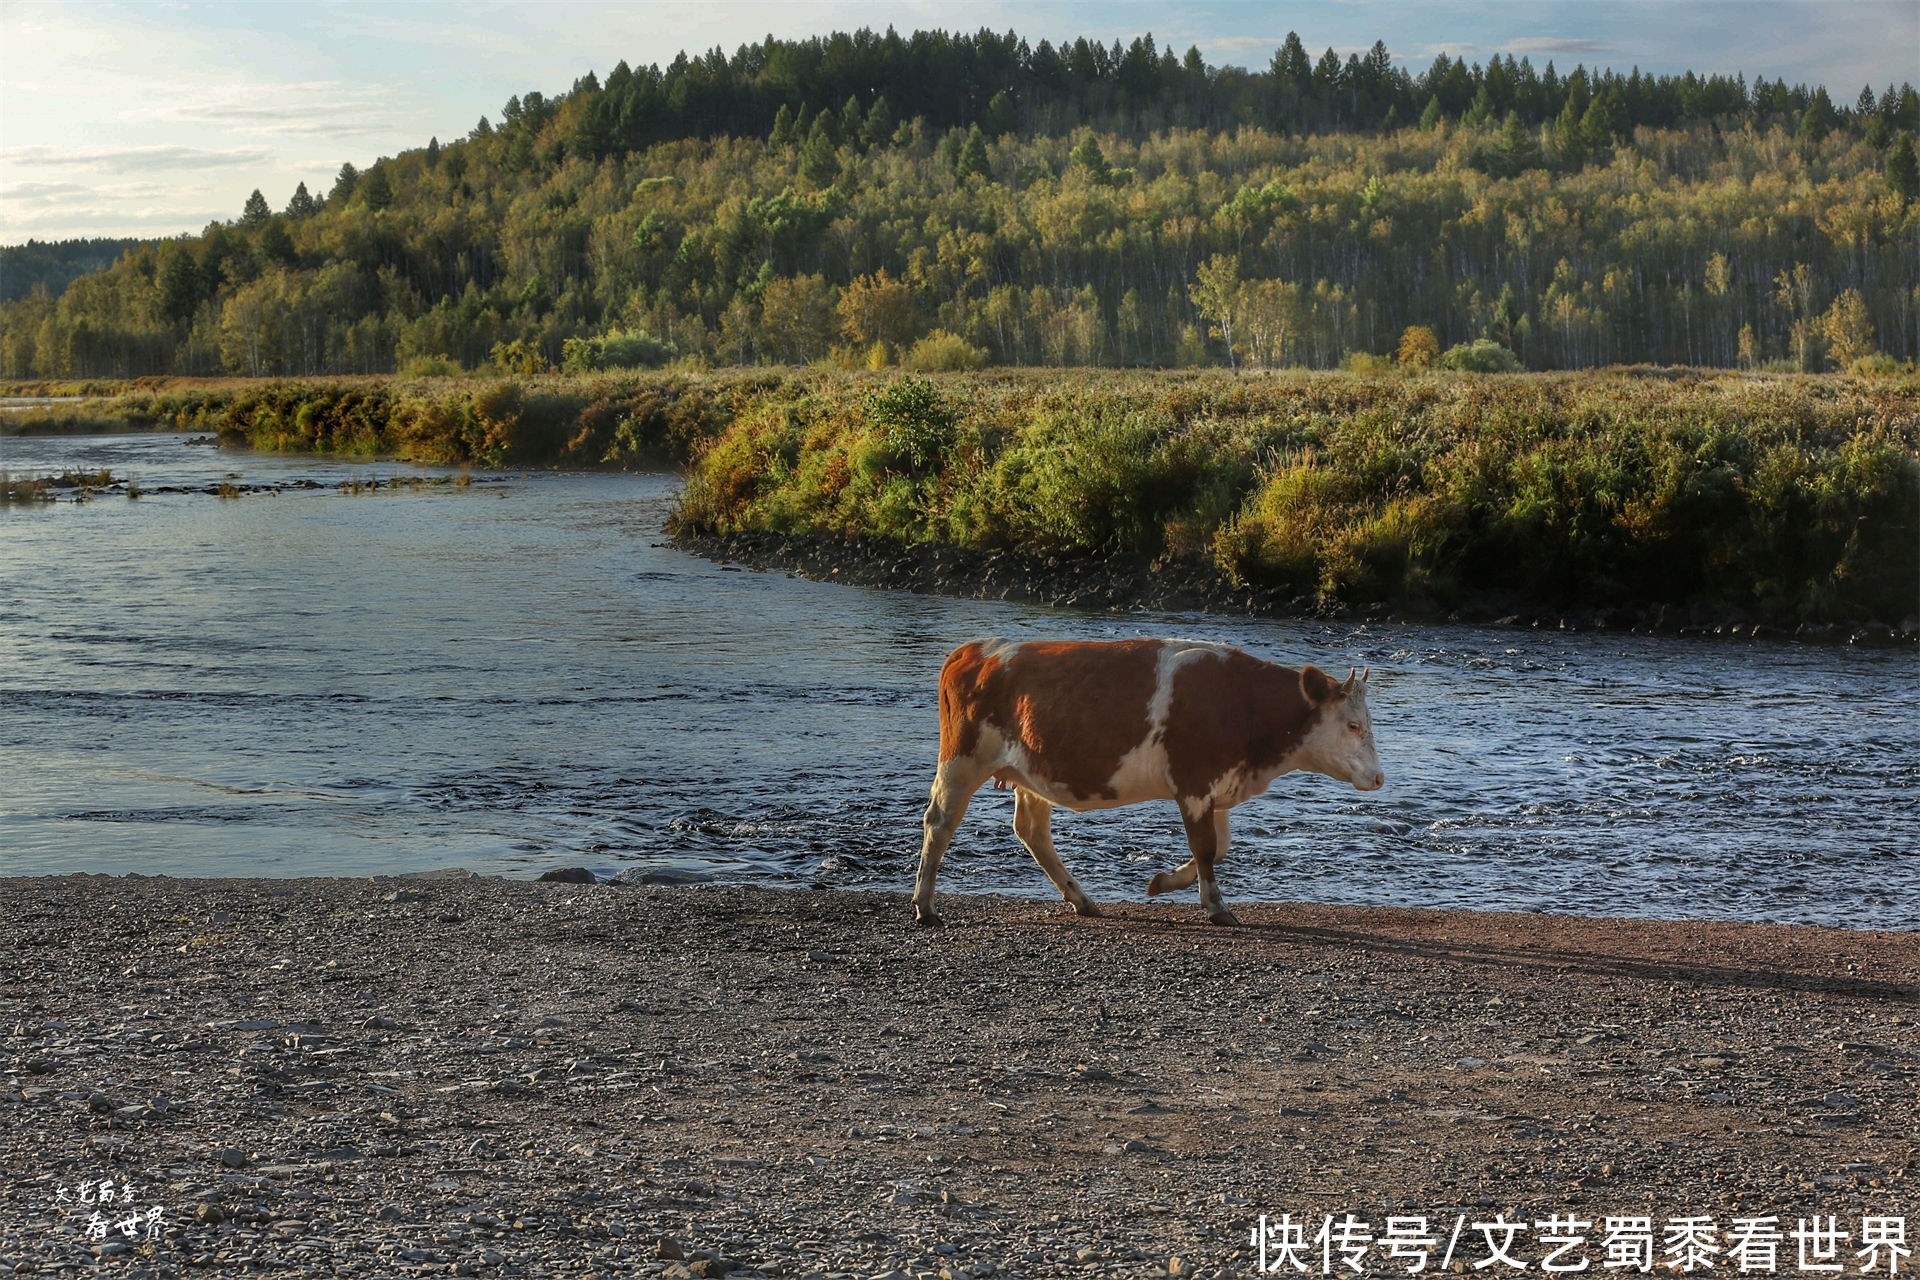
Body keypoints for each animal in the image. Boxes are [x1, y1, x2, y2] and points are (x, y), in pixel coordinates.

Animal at [910, 640, 1382, 932]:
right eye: (1353, 725)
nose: (1379, 778)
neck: (1244, 705)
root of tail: (974, 649)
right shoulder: (1193, 782)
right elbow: (1206, 848)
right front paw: (1216, 906)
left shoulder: (1215, 786)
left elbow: (1220, 846)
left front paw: (1163, 882)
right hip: (962, 760)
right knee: (940, 822)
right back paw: (925, 905)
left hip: (1031, 772)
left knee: (1032, 830)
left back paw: (1081, 899)